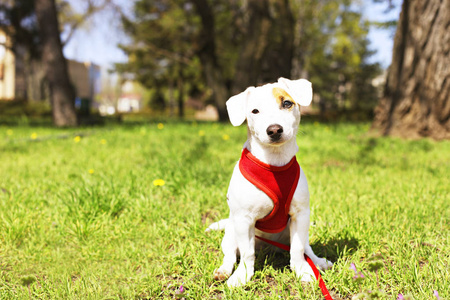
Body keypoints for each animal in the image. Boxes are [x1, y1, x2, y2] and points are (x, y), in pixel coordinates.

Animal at [207, 77, 334, 286]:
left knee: (306, 249)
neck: (275, 162)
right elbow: (247, 253)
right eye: (254, 111)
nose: (274, 129)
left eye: (287, 103)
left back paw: (318, 262)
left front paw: (302, 271)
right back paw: (224, 270)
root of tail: (269, 249)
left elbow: (298, 250)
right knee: (231, 254)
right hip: (231, 232)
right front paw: (242, 276)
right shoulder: (244, 219)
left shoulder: (300, 214)